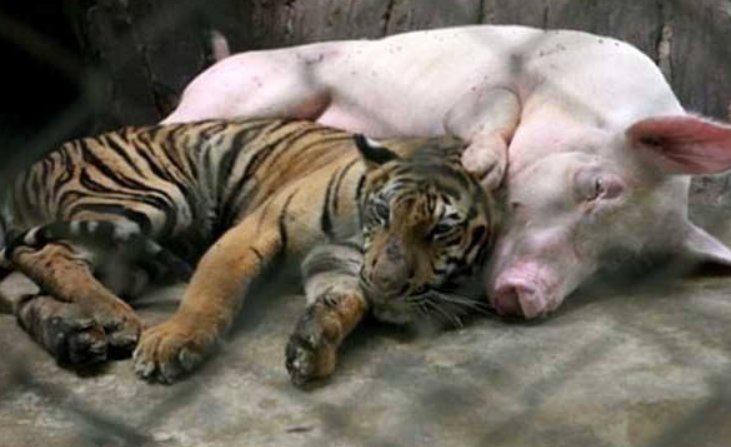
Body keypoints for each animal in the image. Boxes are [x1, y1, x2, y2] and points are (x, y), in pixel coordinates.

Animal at [0, 118, 501, 385]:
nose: (385, 284)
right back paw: (115, 318)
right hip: (140, 198)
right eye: (384, 213)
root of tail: (29, 168)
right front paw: (172, 343)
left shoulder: (337, 262)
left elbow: (342, 303)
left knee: (25, 290)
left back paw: (78, 335)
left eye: (441, 231)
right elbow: (211, 291)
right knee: (47, 255)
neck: (357, 232)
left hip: (128, 257)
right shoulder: (256, 228)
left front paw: (312, 343)